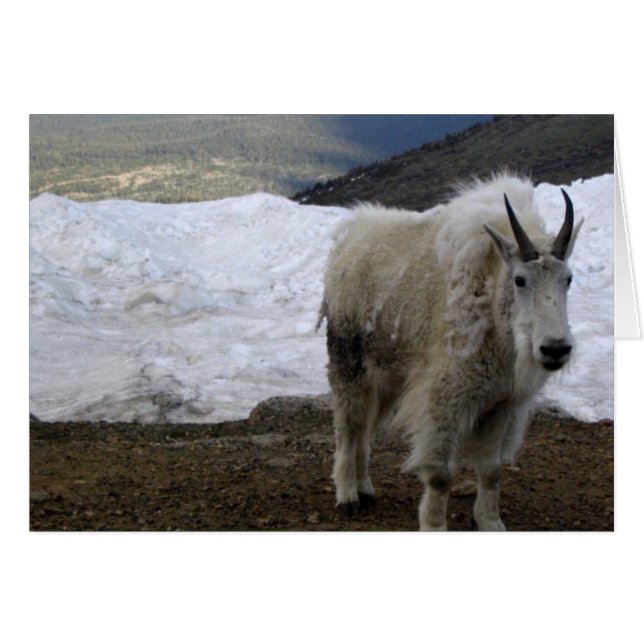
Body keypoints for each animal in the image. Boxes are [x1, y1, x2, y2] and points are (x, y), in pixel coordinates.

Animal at [320, 174, 583, 530]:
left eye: (568, 278)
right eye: (520, 279)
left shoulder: (501, 404)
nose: (555, 349)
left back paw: (365, 491)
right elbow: (440, 475)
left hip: (387, 376)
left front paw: (490, 522)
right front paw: (434, 524)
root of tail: (346, 240)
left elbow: (491, 470)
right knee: (348, 428)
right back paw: (348, 497)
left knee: (365, 431)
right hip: (348, 362)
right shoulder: (445, 397)